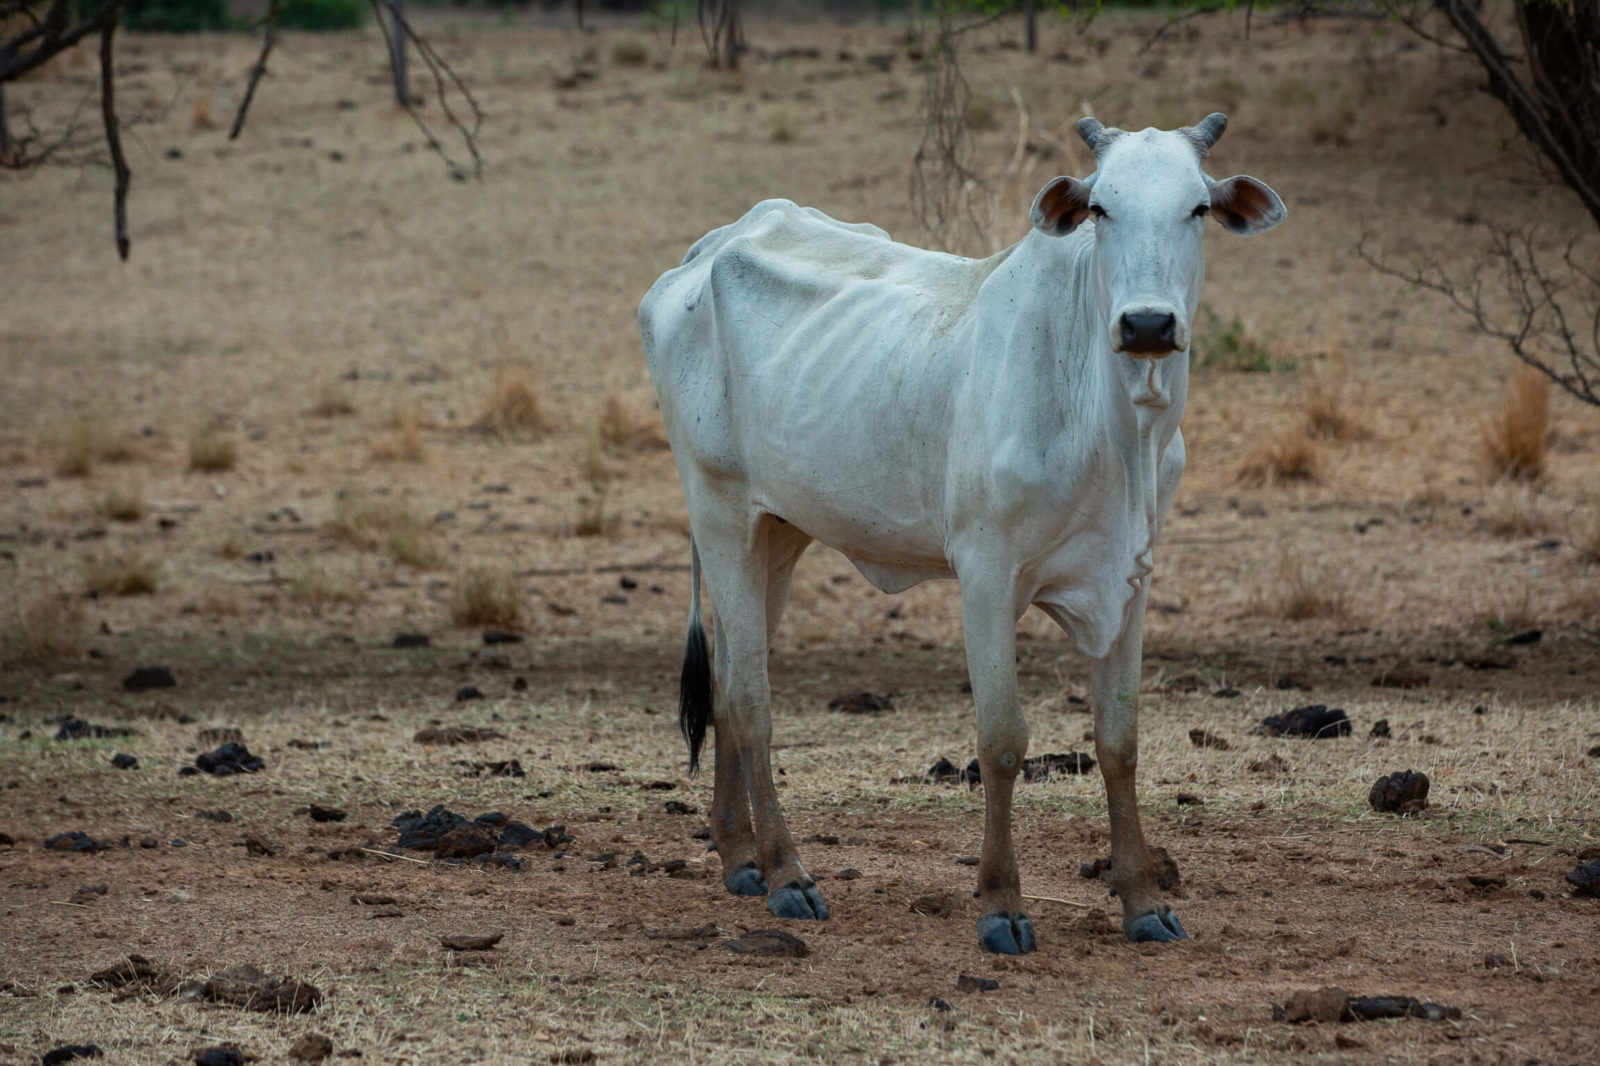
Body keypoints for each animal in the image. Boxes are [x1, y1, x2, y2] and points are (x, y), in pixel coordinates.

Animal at [636, 112, 1286, 947]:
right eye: (1102, 209)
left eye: (1198, 208)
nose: (1147, 323)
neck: (1113, 424)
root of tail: (711, 246)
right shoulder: (986, 575)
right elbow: (1003, 741)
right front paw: (1001, 905)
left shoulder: (1130, 579)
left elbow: (1120, 741)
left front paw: (1143, 900)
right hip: (720, 514)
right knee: (749, 698)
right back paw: (787, 875)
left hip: (775, 532)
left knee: (723, 682)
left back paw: (740, 858)